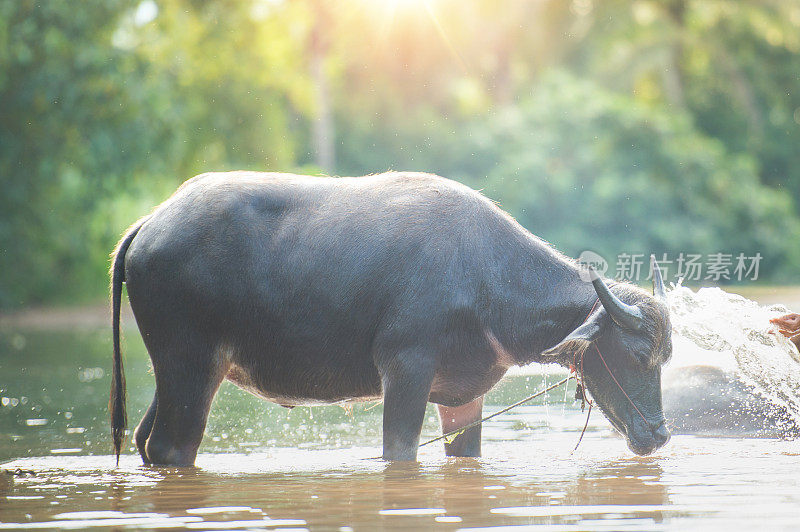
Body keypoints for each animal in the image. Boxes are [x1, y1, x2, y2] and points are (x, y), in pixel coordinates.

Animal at [111, 171, 676, 466]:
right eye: (636, 356)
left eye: (664, 358)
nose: (660, 435)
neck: (483, 278)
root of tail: (150, 223)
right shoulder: (405, 371)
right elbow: (399, 450)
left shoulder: (463, 395)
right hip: (189, 364)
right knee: (171, 446)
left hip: (178, 371)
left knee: (143, 440)